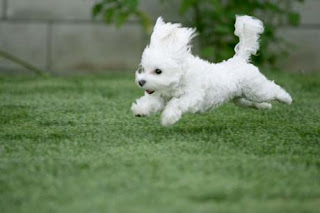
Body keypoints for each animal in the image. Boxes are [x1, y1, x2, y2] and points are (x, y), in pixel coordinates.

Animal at [131, 16, 292, 126]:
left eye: (158, 71)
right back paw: (266, 106)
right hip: (240, 98)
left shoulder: (193, 96)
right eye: (143, 69)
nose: (141, 82)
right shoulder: (161, 95)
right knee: (252, 103)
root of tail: (239, 59)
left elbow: (176, 103)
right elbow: (151, 102)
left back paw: (286, 99)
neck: (181, 78)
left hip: (255, 89)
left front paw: (168, 118)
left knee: (272, 90)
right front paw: (140, 110)